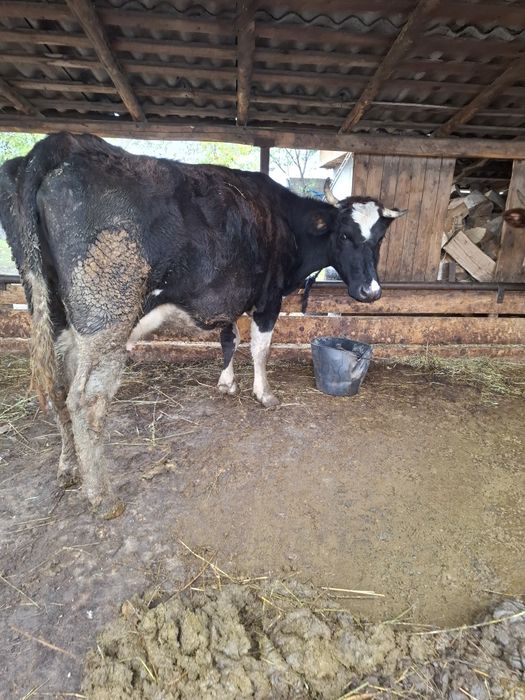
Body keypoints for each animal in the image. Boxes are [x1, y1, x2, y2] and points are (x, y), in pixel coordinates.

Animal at [0, 132, 405, 518]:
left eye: (380, 238)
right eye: (345, 235)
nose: (371, 292)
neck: (283, 221)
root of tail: (62, 145)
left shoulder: (227, 298)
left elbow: (230, 339)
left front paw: (226, 383)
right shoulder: (268, 298)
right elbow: (260, 349)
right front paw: (264, 394)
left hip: (52, 311)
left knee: (58, 387)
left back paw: (70, 467)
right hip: (105, 315)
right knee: (84, 399)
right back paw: (101, 496)